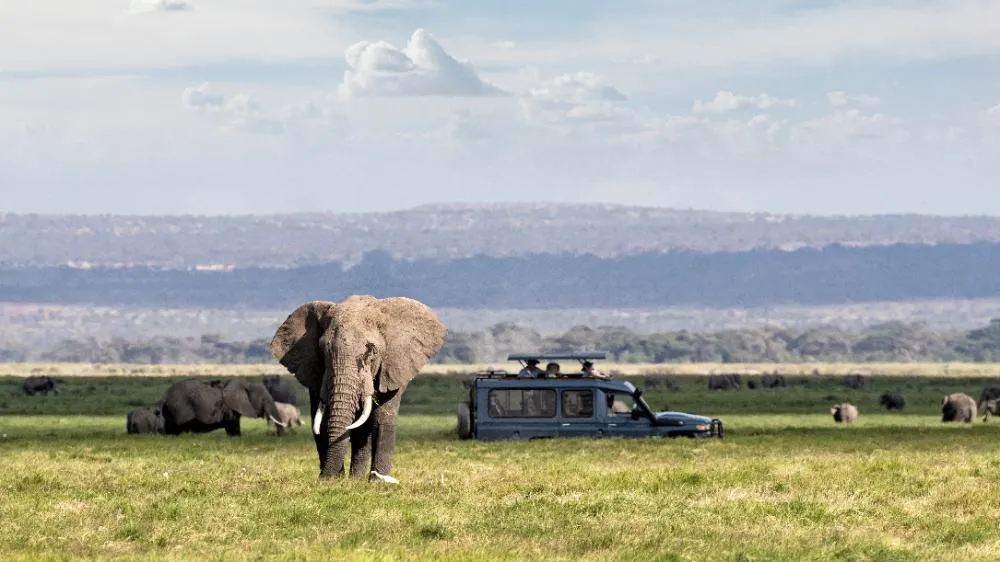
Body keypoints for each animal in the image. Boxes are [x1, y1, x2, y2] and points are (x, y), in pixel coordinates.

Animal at [269, 295, 447, 483]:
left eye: (373, 352)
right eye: (323, 351)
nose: (325, 477)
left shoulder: (393, 368)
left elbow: (382, 419)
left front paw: (378, 483)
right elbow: (321, 421)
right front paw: (331, 480)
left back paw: (358, 479)